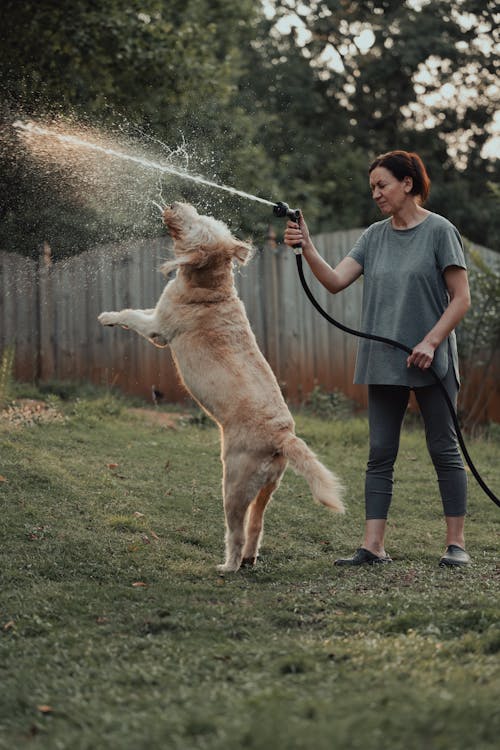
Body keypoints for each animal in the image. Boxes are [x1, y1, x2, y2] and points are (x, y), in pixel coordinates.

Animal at [99, 203, 346, 572]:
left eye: (198, 224)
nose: (177, 204)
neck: (211, 287)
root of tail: (283, 435)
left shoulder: (158, 329)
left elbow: (132, 315)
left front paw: (107, 317)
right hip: (268, 487)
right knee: (256, 527)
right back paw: (248, 560)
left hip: (234, 483)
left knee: (237, 530)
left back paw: (228, 566)